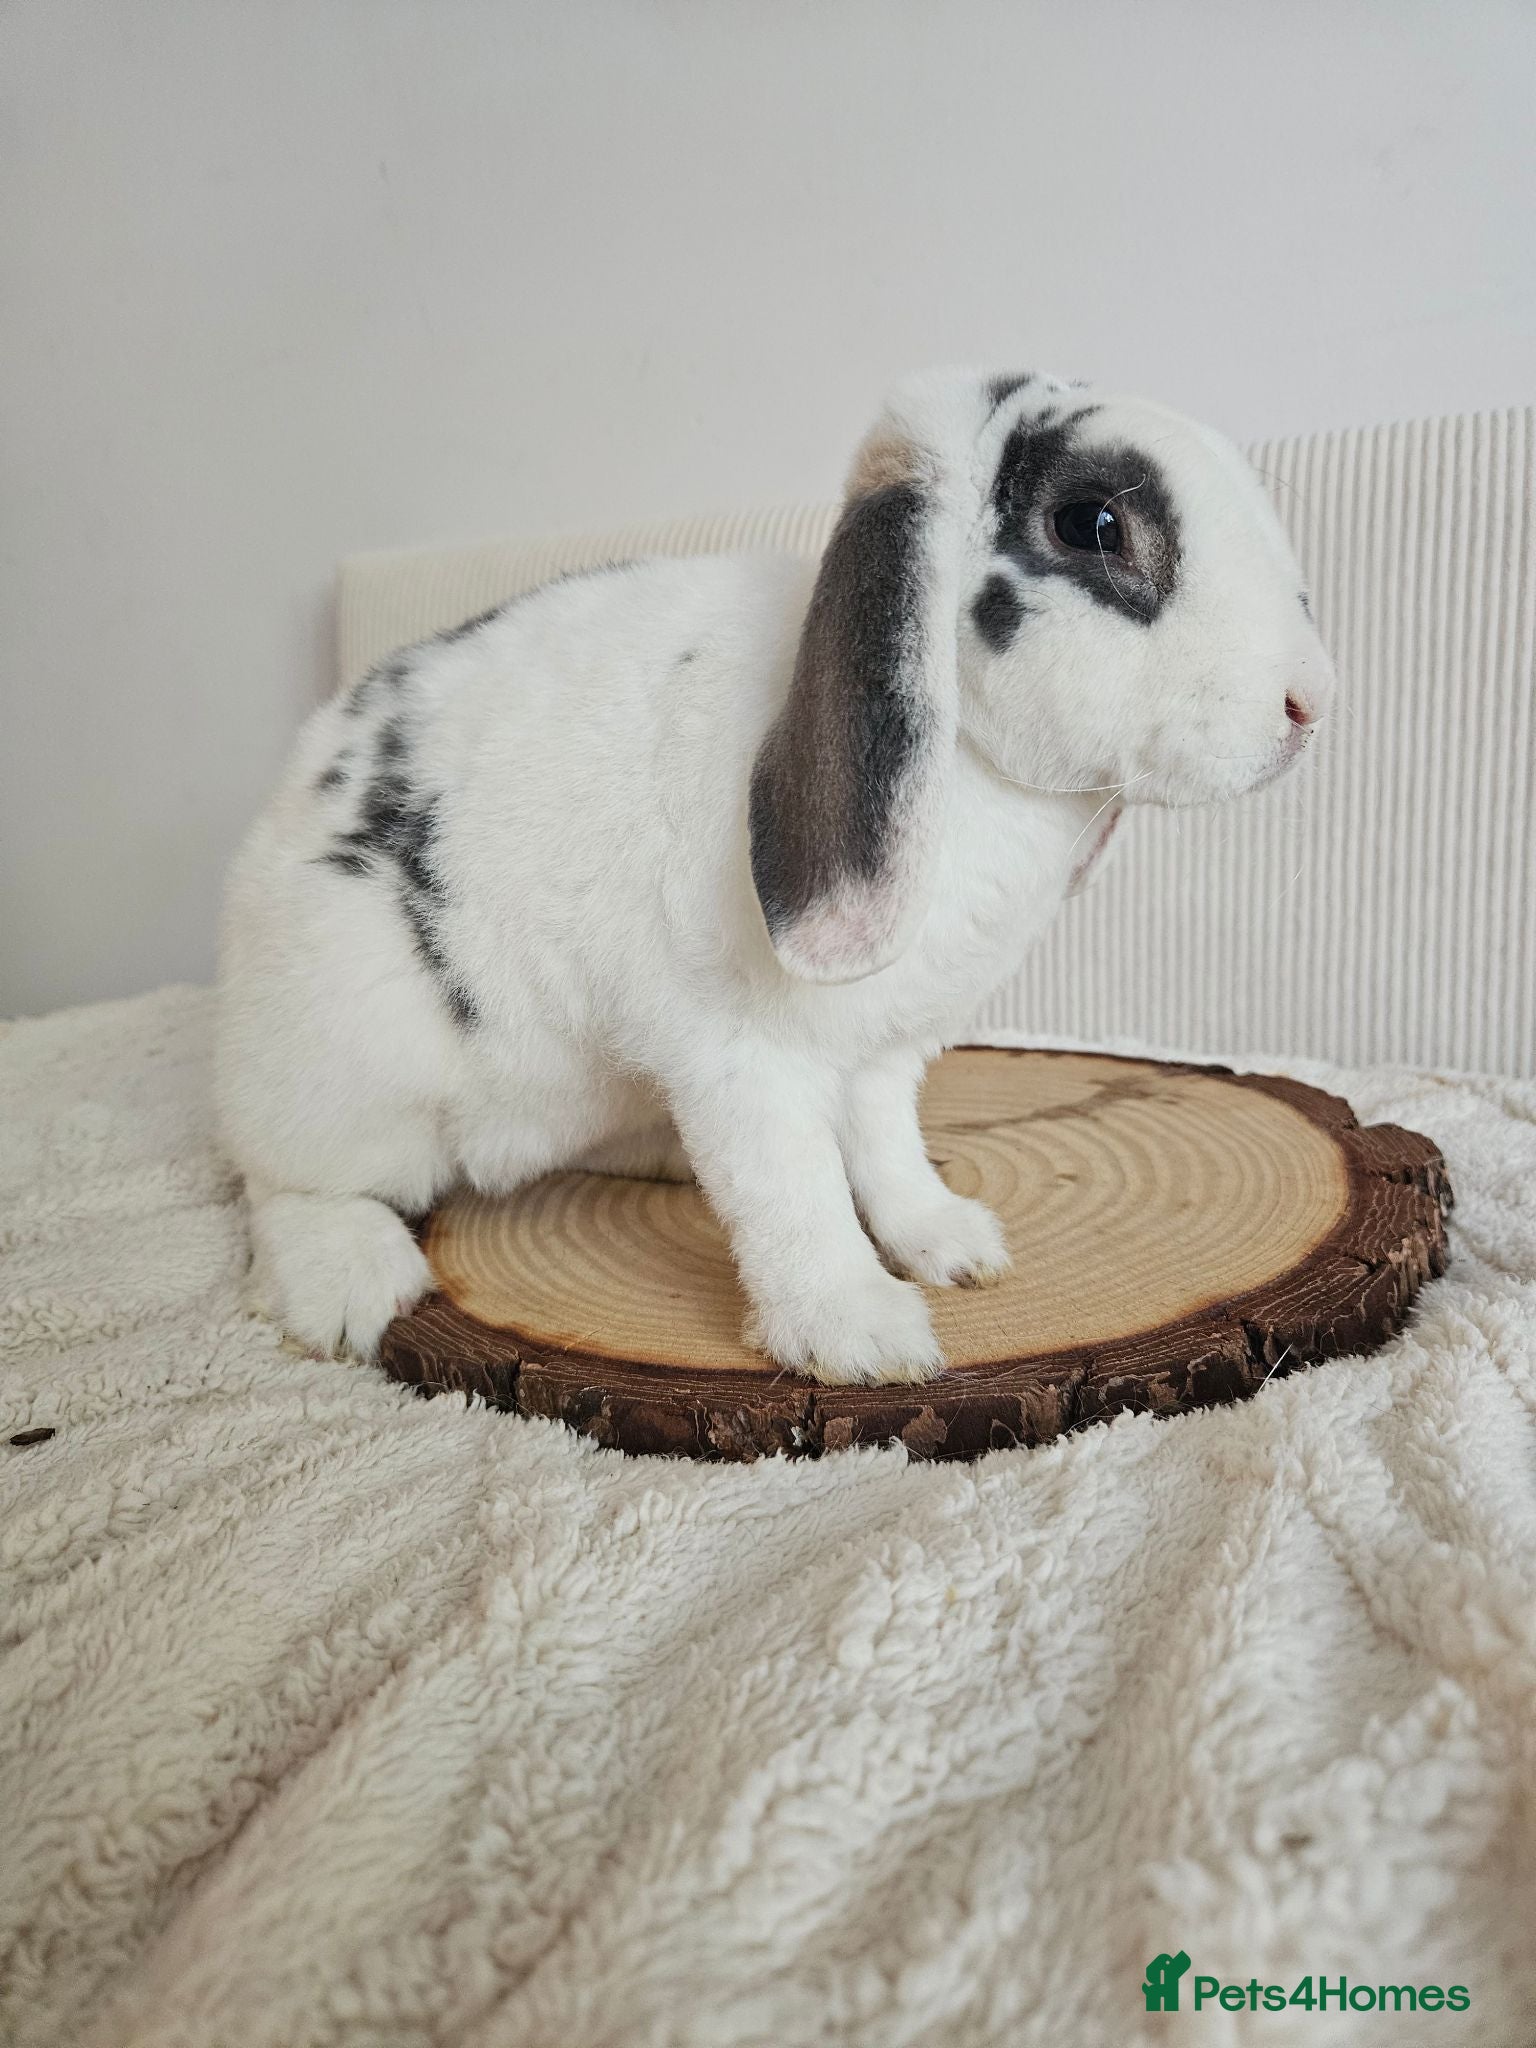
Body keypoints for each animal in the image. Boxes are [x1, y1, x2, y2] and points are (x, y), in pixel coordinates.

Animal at [216, 366, 1335, 1385]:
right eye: (1092, 523)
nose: (1310, 703)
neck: (975, 772)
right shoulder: (743, 1057)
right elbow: (791, 1191)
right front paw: (863, 1336)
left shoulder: (884, 1055)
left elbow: (886, 1152)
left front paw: (951, 1245)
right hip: (353, 1073)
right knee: (279, 1184)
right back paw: (350, 1285)